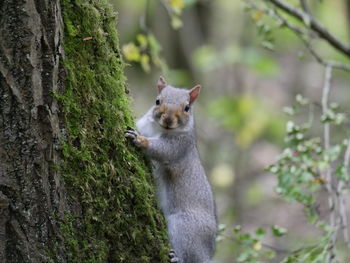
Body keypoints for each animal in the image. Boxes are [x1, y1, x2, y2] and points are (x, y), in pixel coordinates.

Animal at [124, 77, 217, 262]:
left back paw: (177, 258)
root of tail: (207, 254)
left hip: (185, 227)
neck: (157, 129)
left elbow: (163, 150)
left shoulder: (179, 146)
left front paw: (139, 139)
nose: (167, 119)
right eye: (157, 101)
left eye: (187, 108)